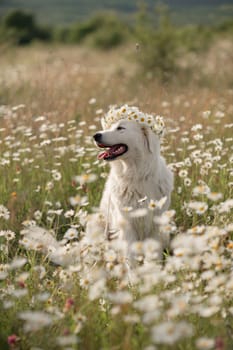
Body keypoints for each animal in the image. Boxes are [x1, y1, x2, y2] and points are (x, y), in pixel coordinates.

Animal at [90, 104, 174, 258]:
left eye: (120, 128)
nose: (95, 135)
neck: (137, 174)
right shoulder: (127, 226)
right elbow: (131, 256)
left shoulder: (156, 225)